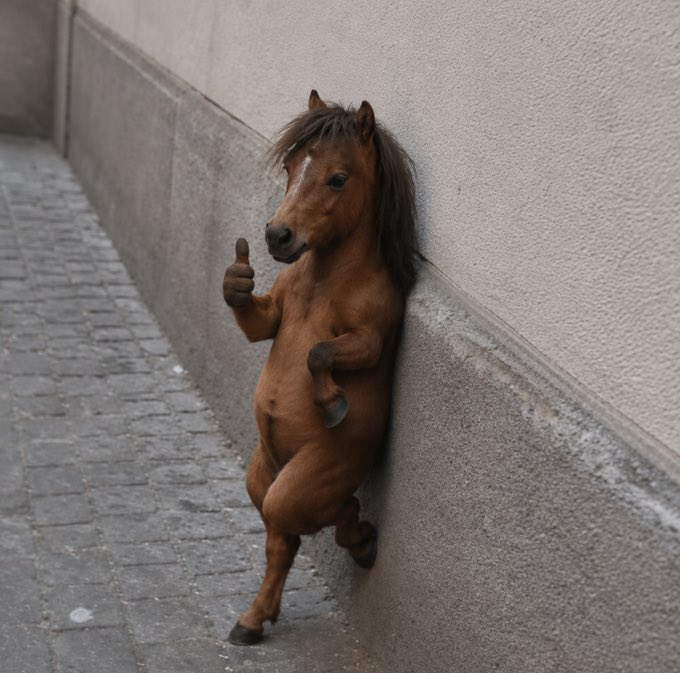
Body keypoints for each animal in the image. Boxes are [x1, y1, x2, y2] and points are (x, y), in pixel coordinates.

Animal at [222, 89, 417, 645]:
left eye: (338, 178)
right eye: (291, 167)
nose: (277, 236)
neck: (325, 279)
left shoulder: (373, 334)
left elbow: (318, 353)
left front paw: (332, 403)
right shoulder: (272, 313)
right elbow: (256, 318)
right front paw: (237, 275)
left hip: (304, 479)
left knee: (320, 511)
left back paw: (363, 541)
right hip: (260, 473)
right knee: (280, 541)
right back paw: (253, 620)